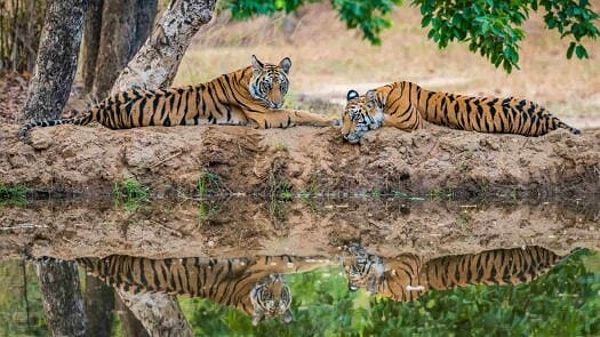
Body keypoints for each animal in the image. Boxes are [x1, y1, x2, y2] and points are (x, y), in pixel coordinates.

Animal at [18, 55, 336, 139]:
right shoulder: (265, 117)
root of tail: (99, 108)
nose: (276, 100)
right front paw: (332, 120)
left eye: (281, 85)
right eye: (268, 85)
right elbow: (298, 113)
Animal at [342, 82, 580, 144]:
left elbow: (382, 123)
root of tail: (553, 119)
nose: (344, 135)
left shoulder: (410, 122)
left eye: (355, 118)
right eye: (343, 118)